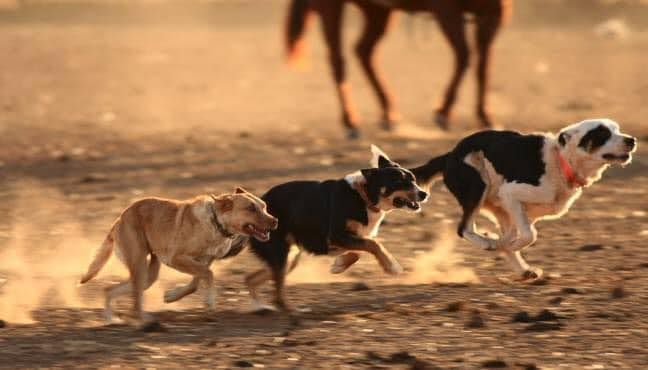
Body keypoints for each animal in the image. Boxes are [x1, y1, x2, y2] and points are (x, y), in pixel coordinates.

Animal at [79, 188, 278, 324]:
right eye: (251, 208)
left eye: (264, 207)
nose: (275, 221)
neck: (216, 223)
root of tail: (119, 219)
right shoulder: (176, 258)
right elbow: (208, 275)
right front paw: (209, 302)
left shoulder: (203, 261)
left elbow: (196, 282)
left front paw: (172, 296)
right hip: (139, 264)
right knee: (134, 302)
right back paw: (143, 322)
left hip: (147, 275)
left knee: (110, 290)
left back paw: (111, 319)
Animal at [246, 146, 428, 310]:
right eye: (398, 181)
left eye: (413, 179)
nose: (424, 194)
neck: (363, 196)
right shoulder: (336, 235)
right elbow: (374, 244)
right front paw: (391, 266)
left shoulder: (348, 238)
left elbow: (360, 251)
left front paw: (339, 265)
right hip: (280, 254)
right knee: (276, 294)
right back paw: (292, 311)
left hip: (288, 259)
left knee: (250, 278)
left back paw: (260, 307)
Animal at [286, 0, 512, 138]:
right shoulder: (446, 9)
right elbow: (465, 57)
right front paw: (443, 113)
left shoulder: (494, 14)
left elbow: (484, 67)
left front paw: (485, 116)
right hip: (332, 7)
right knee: (338, 60)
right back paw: (351, 123)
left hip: (377, 11)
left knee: (364, 51)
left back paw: (389, 114)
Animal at [412, 118, 636, 280]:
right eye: (602, 133)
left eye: (616, 129)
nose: (631, 140)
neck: (561, 160)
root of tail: (450, 155)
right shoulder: (511, 193)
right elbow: (530, 236)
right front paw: (503, 245)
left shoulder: (522, 210)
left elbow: (520, 236)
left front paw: (504, 246)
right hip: (478, 187)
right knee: (463, 228)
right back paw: (488, 244)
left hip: (500, 206)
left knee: (502, 232)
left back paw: (516, 263)